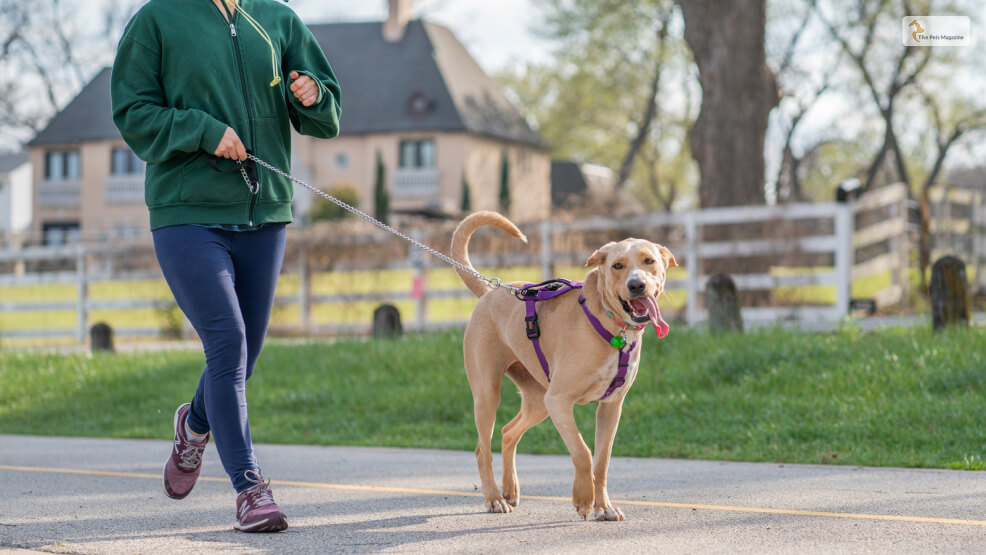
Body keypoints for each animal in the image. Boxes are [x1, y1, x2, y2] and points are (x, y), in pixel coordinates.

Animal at [452, 212, 676, 520]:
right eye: (617, 265)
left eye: (649, 261)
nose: (636, 285)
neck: (611, 325)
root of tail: (490, 290)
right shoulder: (559, 401)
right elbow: (582, 452)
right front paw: (583, 499)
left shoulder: (611, 407)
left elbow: (602, 461)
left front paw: (604, 506)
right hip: (489, 395)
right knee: (481, 450)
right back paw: (494, 498)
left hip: (538, 402)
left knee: (508, 432)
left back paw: (510, 489)